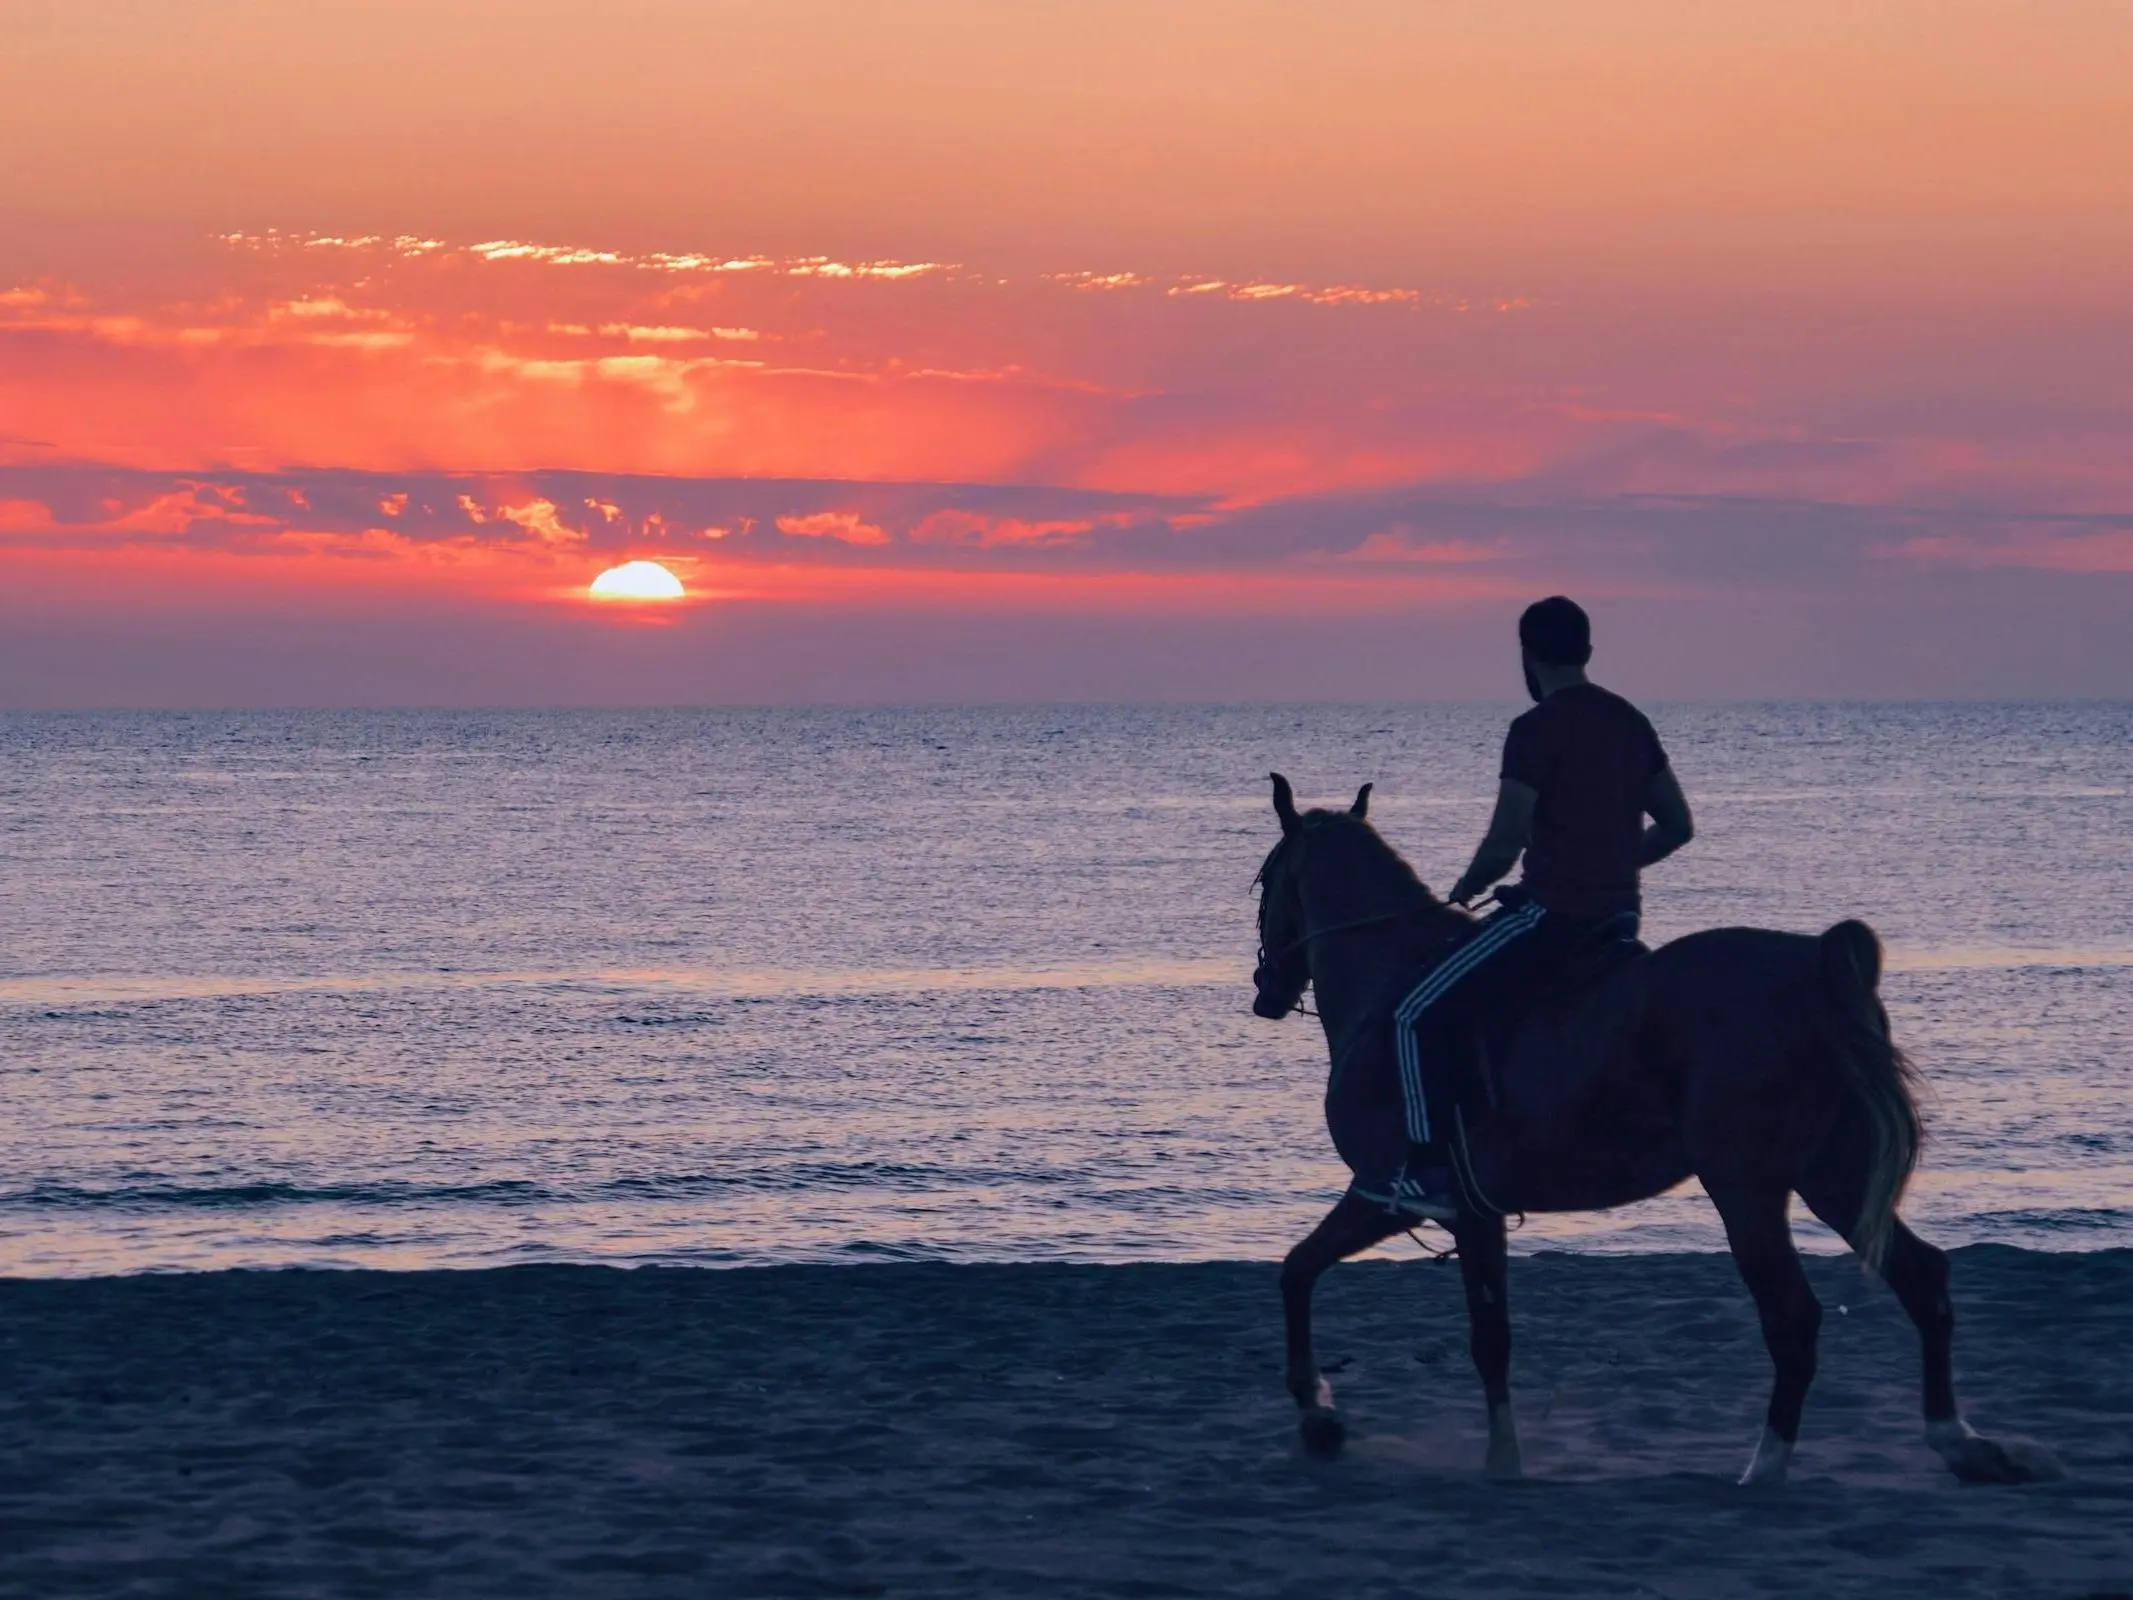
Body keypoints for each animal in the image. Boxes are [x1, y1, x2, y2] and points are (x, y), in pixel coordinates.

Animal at [1245, 776, 2047, 1493]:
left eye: (1262, 881)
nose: (1265, 990)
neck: (1389, 980)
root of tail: (1815, 964)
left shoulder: (1396, 1194)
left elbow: (1323, 1280)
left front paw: (1337, 1421)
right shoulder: (1472, 1213)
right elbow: (1399, 1304)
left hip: (1748, 1186)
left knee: (1792, 1317)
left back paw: (1765, 1469)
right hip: (1833, 1176)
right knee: (1922, 1278)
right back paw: (1960, 1443)